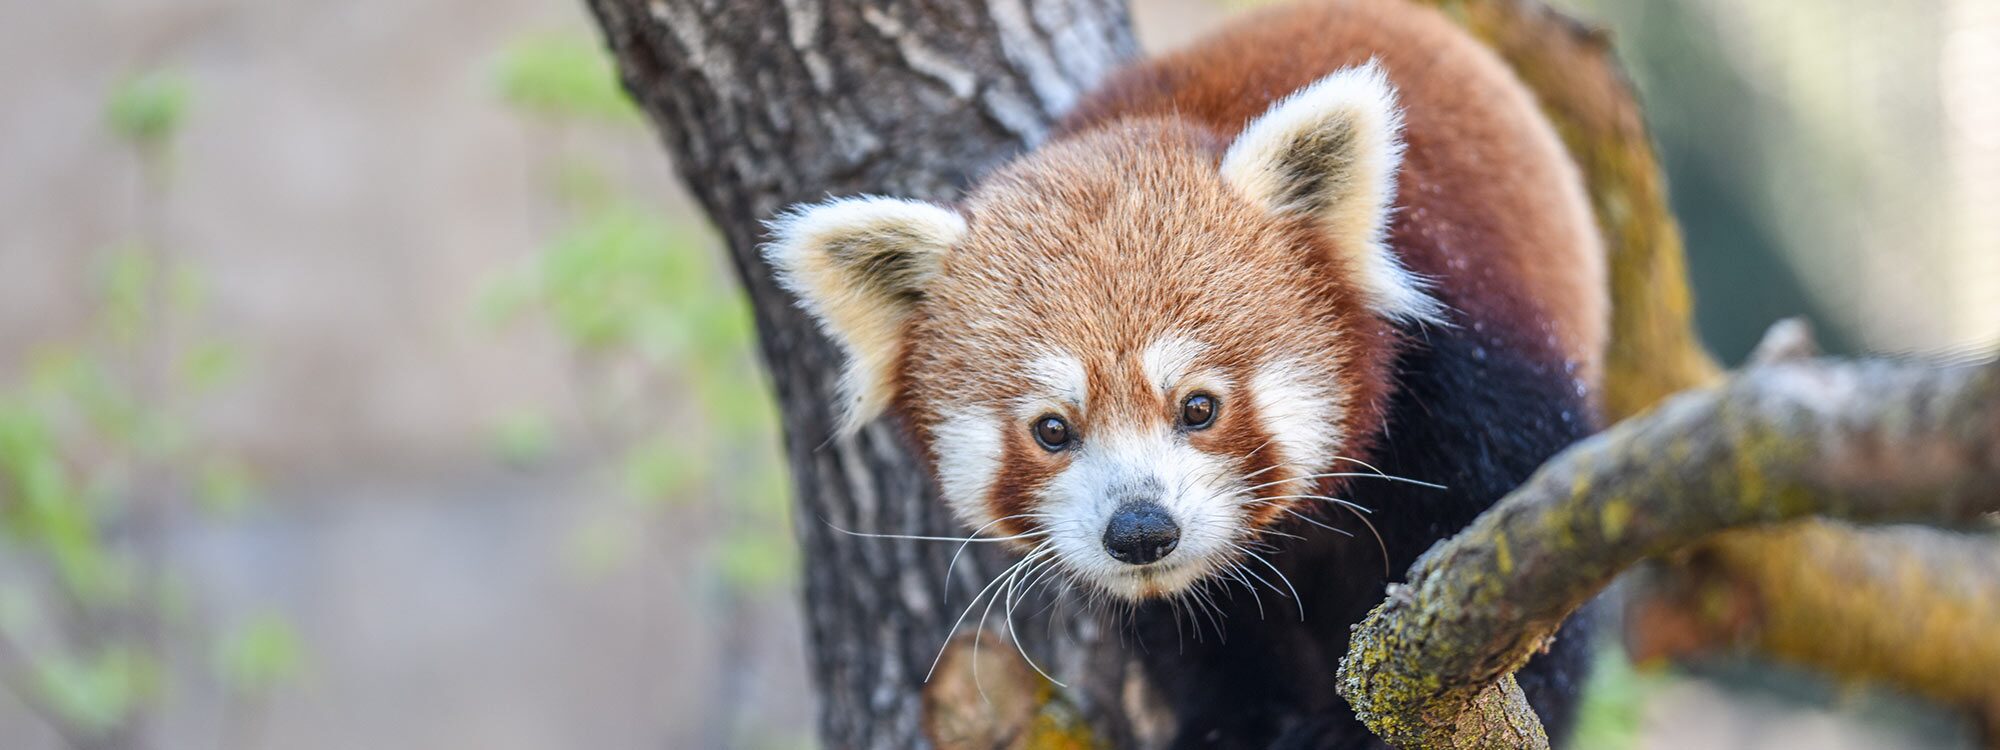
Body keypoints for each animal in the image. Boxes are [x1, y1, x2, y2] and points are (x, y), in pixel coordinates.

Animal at [764, 0, 1608, 748]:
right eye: (1051, 429)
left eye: (1199, 407)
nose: (1140, 532)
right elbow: (1195, 630)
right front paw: (1236, 725)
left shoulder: (1469, 370)